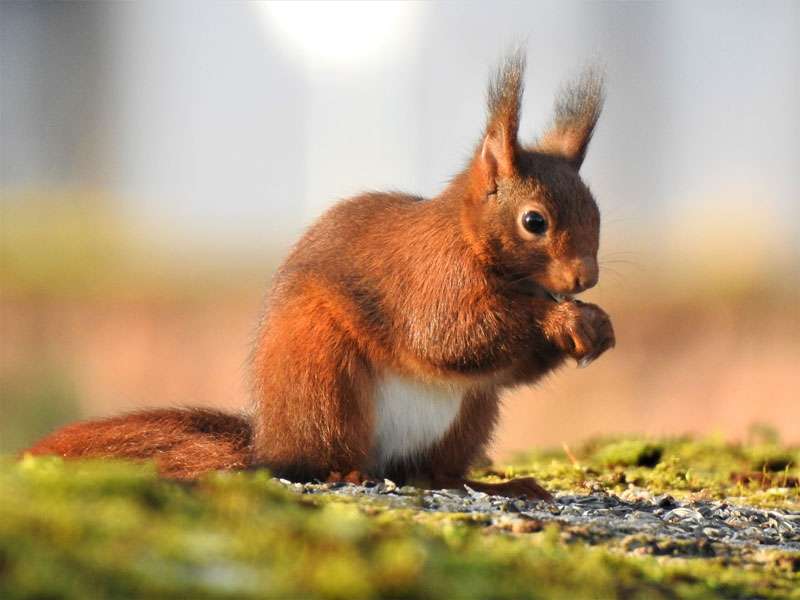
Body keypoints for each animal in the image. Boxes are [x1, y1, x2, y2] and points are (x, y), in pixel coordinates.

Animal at [26, 52, 612, 502]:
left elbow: (505, 363)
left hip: (469, 414)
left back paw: (496, 486)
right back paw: (342, 471)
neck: (471, 241)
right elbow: (454, 334)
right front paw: (559, 318)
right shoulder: (431, 278)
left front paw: (596, 325)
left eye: (596, 212)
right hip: (323, 377)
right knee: (321, 459)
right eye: (534, 222)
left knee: (432, 473)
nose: (585, 278)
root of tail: (269, 440)